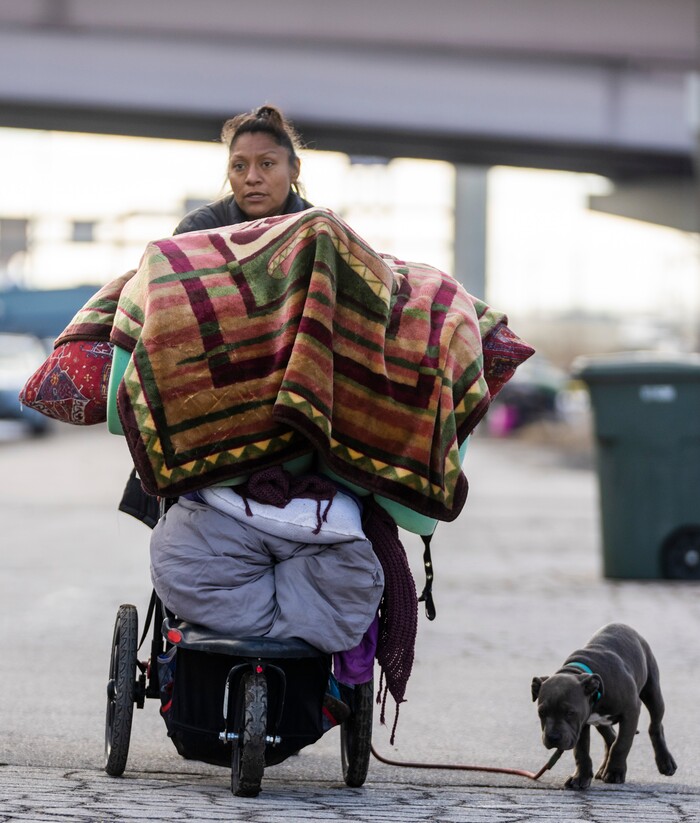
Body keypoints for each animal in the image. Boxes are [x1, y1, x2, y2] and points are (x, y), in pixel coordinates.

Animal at [531, 623, 677, 789]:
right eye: (542, 712)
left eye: (570, 712)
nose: (553, 737)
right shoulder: (581, 724)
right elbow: (581, 751)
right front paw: (580, 777)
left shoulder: (631, 711)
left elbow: (622, 743)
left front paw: (614, 773)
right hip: (600, 722)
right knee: (610, 737)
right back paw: (602, 768)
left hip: (652, 693)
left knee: (655, 725)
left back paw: (665, 762)